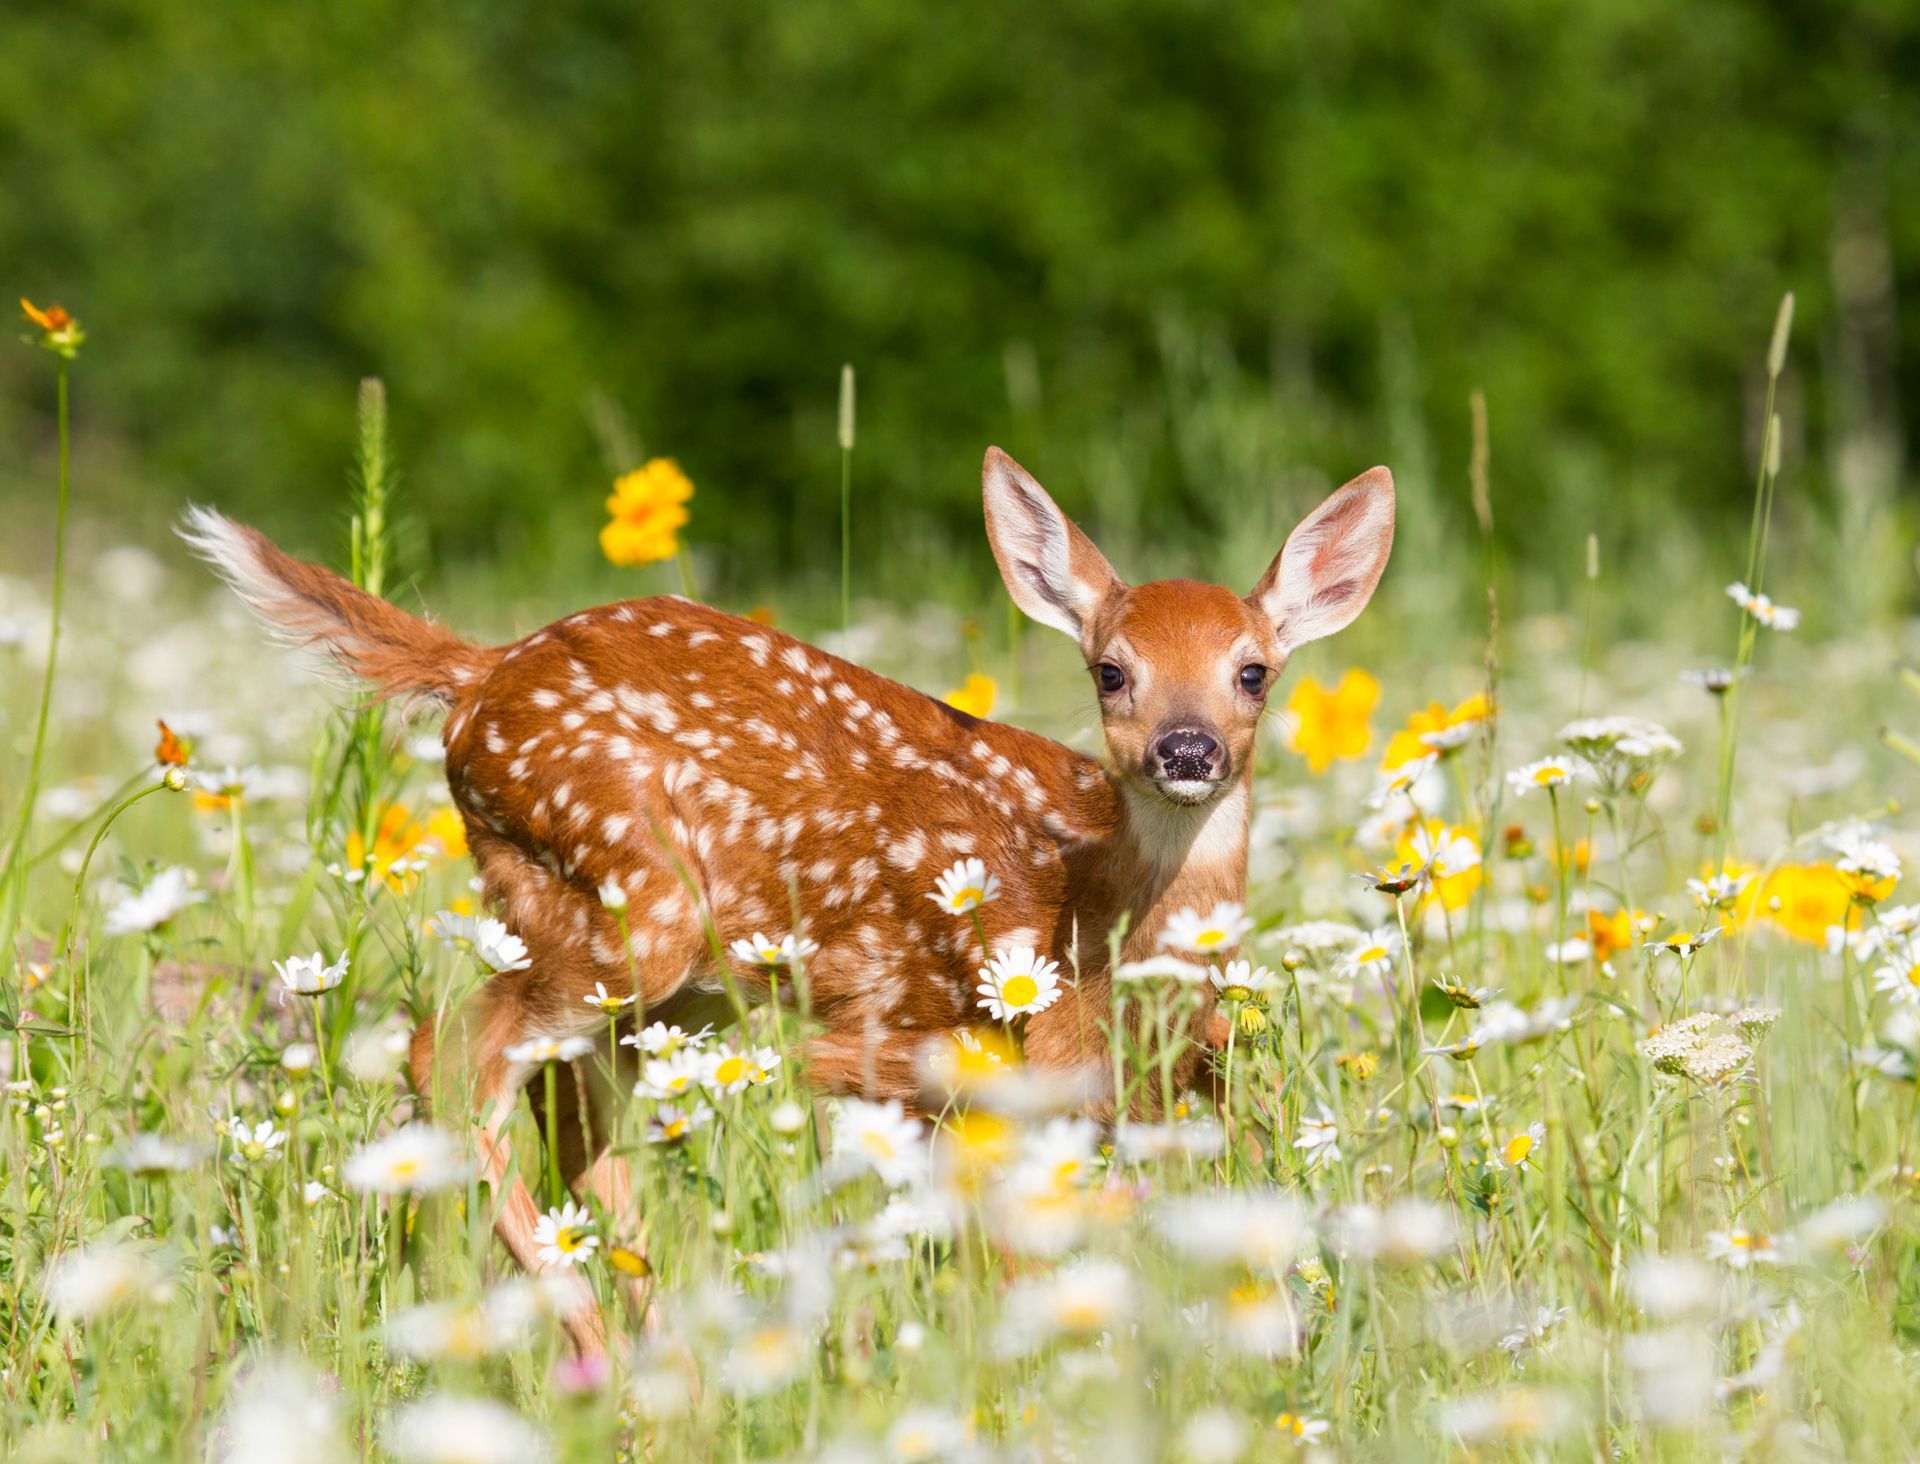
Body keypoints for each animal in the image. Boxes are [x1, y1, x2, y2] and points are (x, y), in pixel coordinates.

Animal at [183, 447, 1393, 1349]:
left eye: (1254, 672)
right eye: (1111, 670)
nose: (1187, 750)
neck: (1088, 916)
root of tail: (479, 674)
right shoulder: (932, 1058)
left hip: (654, 976)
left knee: (570, 1109)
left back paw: (664, 1348)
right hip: (628, 905)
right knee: (450, 1056)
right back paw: (601, 1347)